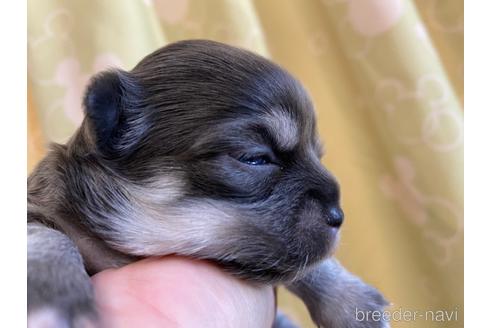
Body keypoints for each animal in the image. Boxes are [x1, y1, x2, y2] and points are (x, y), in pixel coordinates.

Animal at [27, 39, 388, 326]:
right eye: (255, 158)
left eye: (318, 155)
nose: (338, 216)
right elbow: (52, 237)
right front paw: (55, 297)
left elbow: (304, 263)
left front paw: (351, 301)